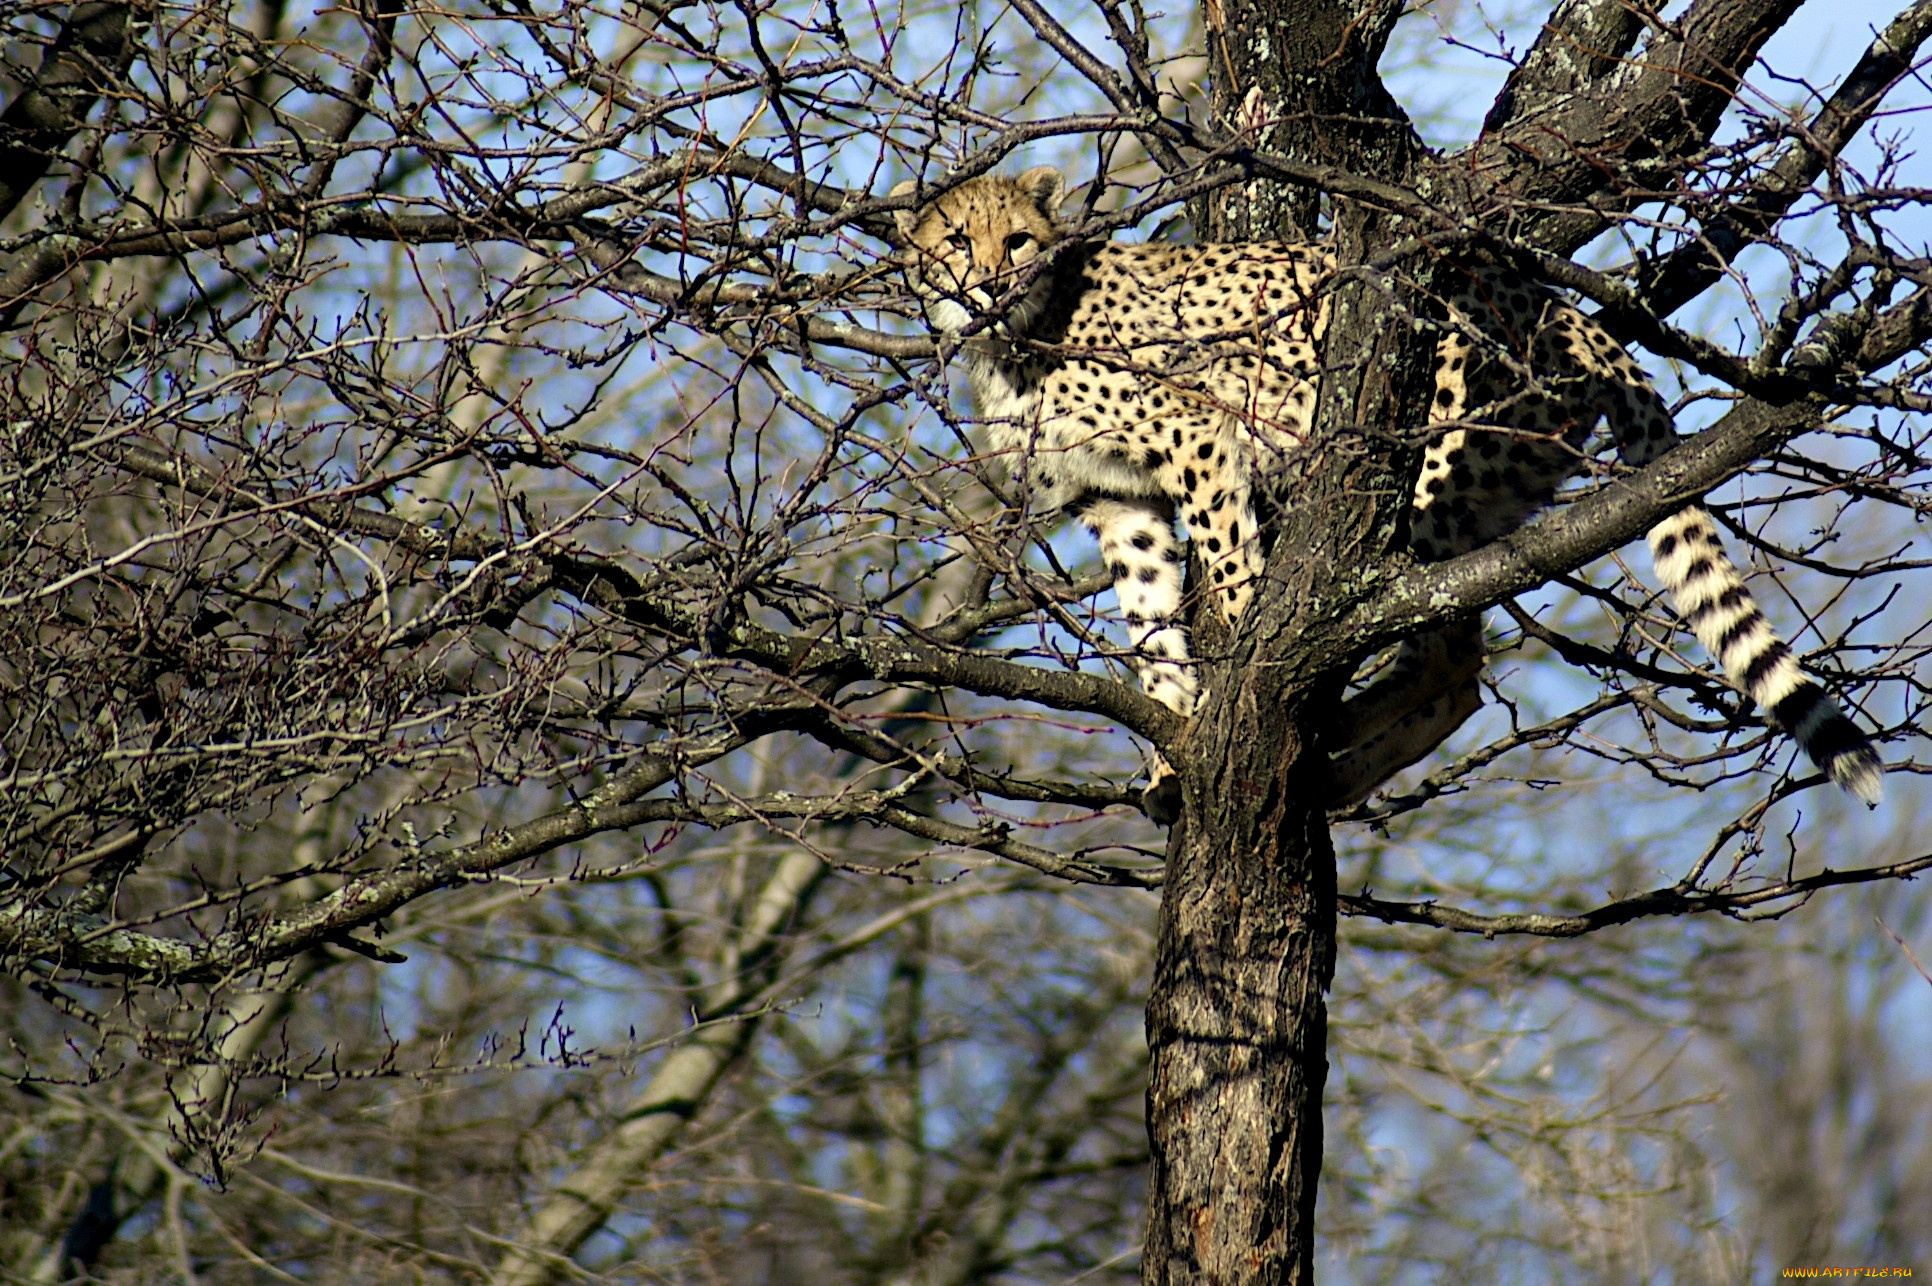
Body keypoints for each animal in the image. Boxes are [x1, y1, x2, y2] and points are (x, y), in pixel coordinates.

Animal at [892, 169, 1885, 814]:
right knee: (1457, 669)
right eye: (954, 242)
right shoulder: (1116, 500)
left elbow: (1231, 569)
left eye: (1016, 239)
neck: (1021, 337)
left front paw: (1241, 676)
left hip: (1427, 465)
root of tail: (1553, 300)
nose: (984, 282)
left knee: (1449, 655)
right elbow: (1149, 623)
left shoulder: (1200, 438)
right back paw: (1339, 766)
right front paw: (1176, 737)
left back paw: (1330, 729)